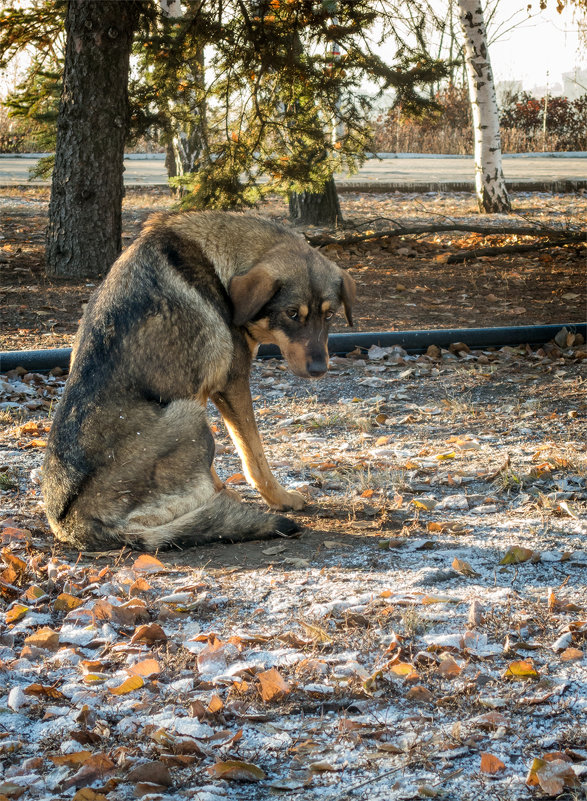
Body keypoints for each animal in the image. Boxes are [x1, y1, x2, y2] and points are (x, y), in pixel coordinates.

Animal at [42, 212, 354, 552]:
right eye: (292, 313)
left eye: (329, 315)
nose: (320, 369)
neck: (216, 263)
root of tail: (71, 524)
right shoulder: (232, 383)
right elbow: (255, 457)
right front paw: (280, 498)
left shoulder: (205, 390)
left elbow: (222, 468)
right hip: (190, 417)